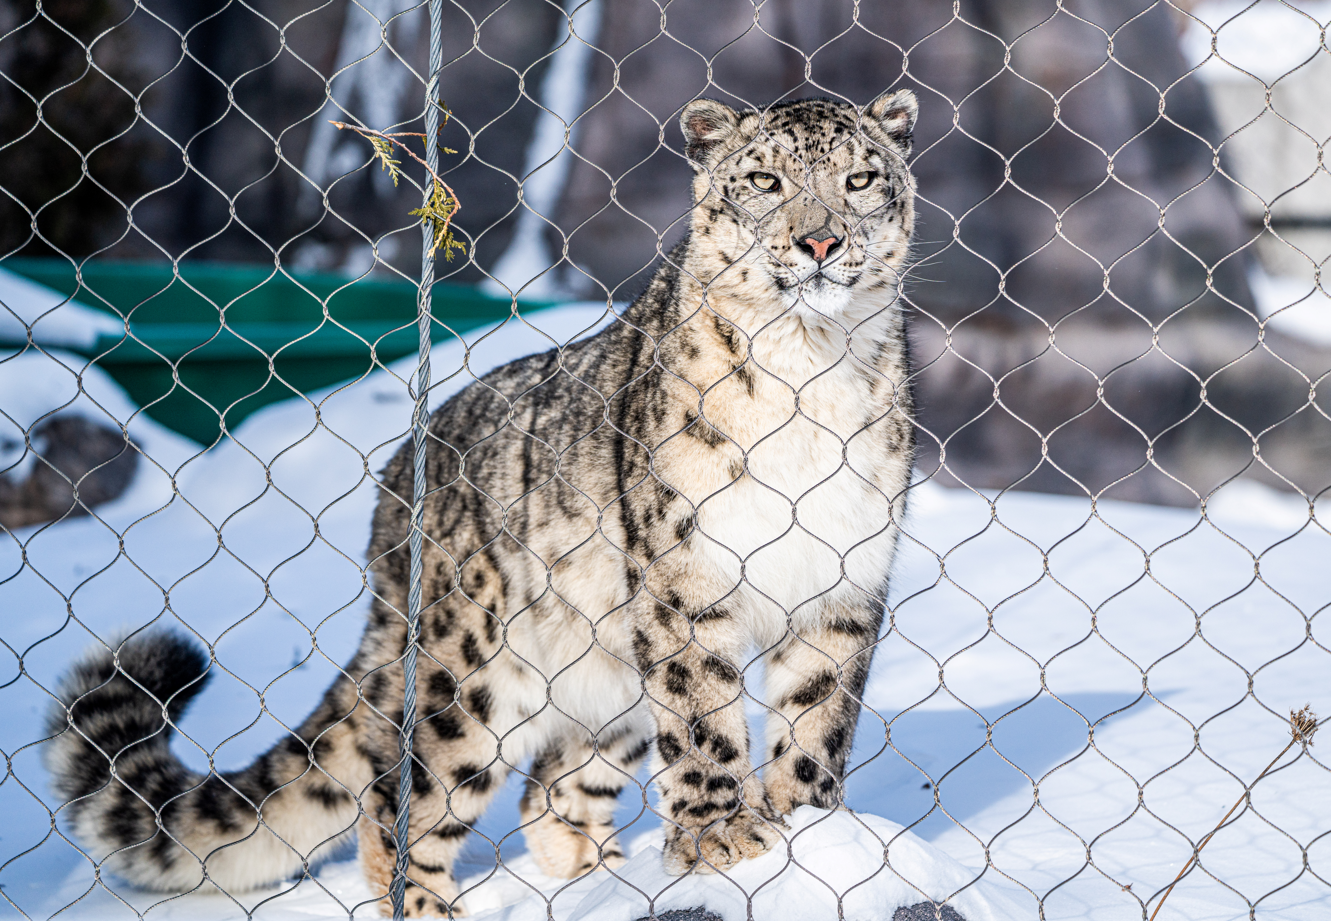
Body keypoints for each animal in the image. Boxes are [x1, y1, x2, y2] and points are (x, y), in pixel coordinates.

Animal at [45, 89, 919, 918]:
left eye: (859, 180)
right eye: (764, 181)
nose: (818, 243)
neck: (811, 368)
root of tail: (396, 491)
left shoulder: (842, 581)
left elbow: (816, 718)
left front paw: (809, 830)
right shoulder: (684, 582)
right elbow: (703, 716)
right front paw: (725, 840)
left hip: (604, 675)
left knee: (552, 791)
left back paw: (601, 886)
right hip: (470, 672)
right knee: (399, 802)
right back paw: (437, 906)